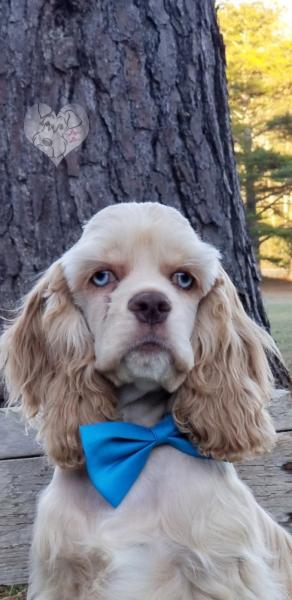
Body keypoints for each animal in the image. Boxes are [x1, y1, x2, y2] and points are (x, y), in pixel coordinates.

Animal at [0, 203, 292, 600]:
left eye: (184, 279)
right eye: (102, 277)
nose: (151, 303)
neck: (137, 443)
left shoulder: (220, 572)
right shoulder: (61, 575)